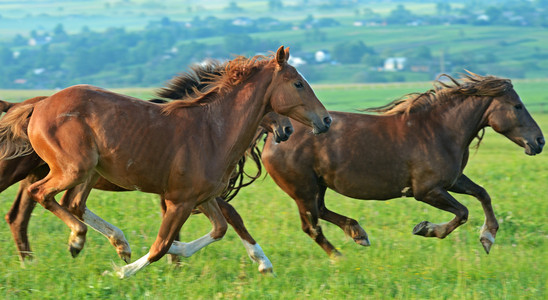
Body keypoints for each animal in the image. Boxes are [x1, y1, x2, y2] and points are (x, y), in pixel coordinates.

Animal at [0, 45, 330, 278]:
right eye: (298, 84)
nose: (325, 120)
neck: (213, 131)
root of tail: (37, 105)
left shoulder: (202, 197)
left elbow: (221, 228)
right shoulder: (179, 200)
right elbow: (160, 245)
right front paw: (121, 272)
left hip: (85, 173)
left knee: (69, 204)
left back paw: (111, 244)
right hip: (72, 169)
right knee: (42, 196)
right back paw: (77, 241)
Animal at [262, 72, 544, 258]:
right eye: (517, 106)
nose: (539, 141)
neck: (439, 131)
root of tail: (272, 137)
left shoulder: (452, 181)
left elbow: (483, 194)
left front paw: (488, 237)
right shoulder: (426, 190)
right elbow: (463, 212)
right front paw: (426, 229)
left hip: (317, 185)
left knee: (320, 211)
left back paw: (358, 233)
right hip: (302, 189)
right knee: (311, 225)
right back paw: (339, 257)